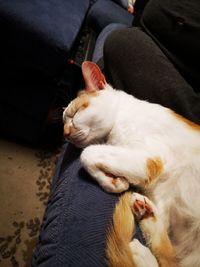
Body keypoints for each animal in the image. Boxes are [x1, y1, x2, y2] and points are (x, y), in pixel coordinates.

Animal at [63, 61, 200, 267]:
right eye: (63, 122)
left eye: (75, 113)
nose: (65, 133)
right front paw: (113, 180)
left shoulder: (151, 156)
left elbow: (87, 154)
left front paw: (112, 182)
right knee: (168, 256)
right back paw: (146, 215)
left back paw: (138, 251)